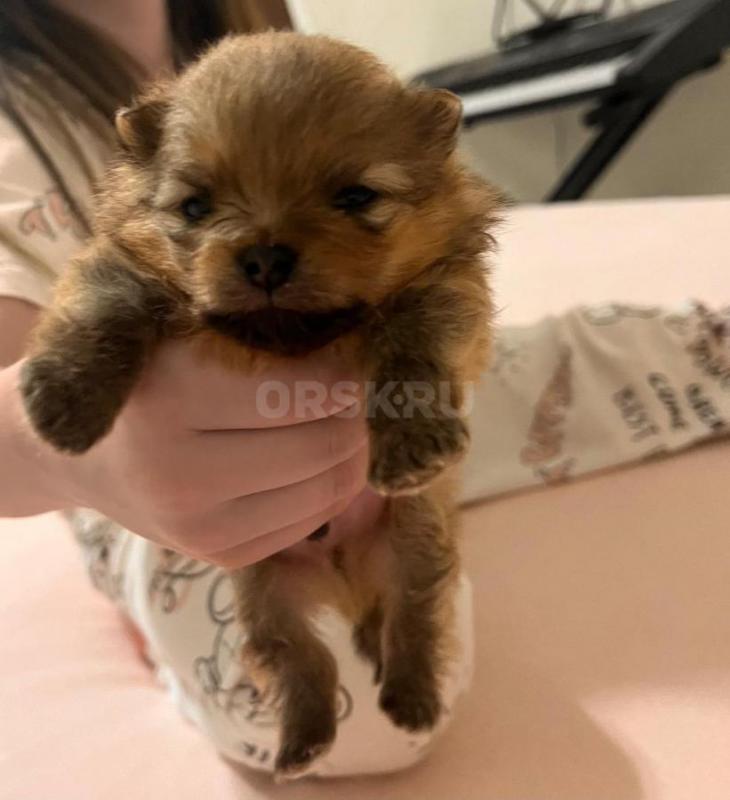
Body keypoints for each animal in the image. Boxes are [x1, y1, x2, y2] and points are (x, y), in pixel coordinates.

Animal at [20, 32, 500, 779]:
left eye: (355, 196)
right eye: (195, 207)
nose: (267, 257)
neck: (285, 343)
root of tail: (343, 576)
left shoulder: (445, 291)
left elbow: (412, 351)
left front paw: (412, 443)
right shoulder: (119, 265)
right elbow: (105, 309)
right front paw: (64, 404)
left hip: (415, 543)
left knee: (415, 618)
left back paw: (411, 697)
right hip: (264, 592)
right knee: (301, 658)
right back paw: (301, 743)